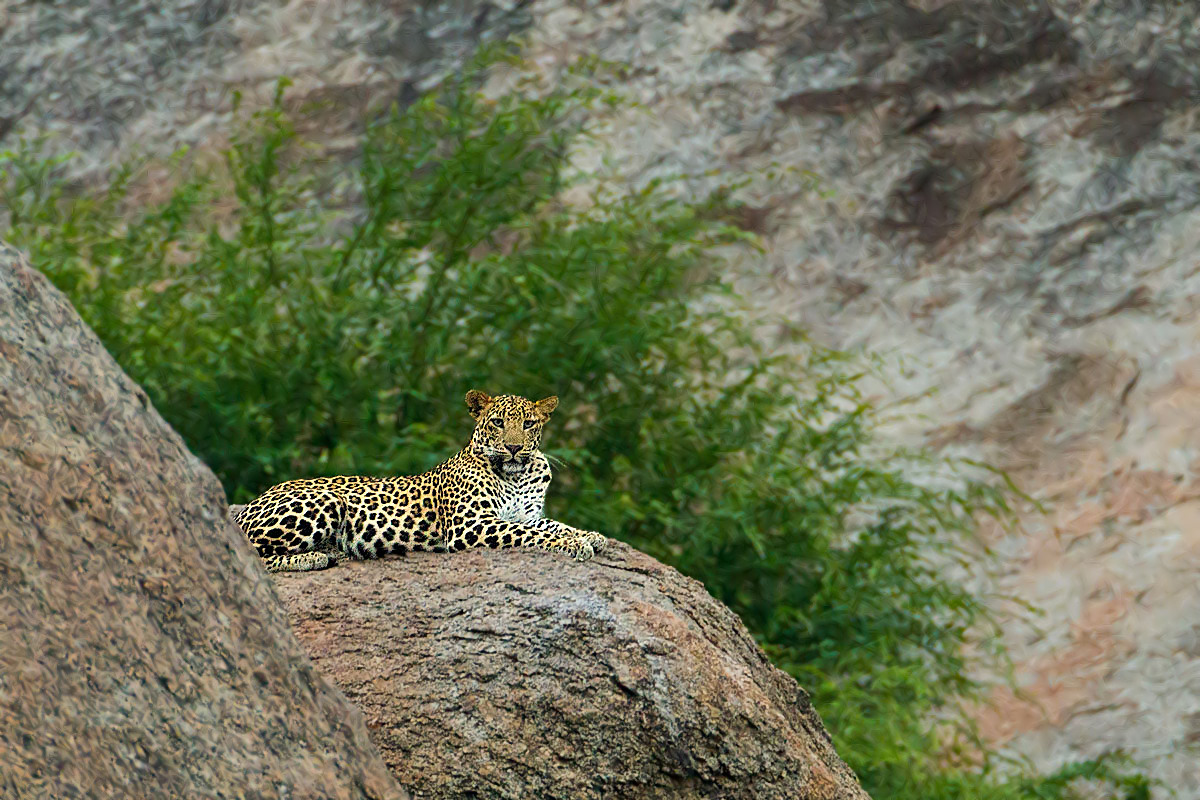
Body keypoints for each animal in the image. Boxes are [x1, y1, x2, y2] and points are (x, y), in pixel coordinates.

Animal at [231, 391, 609, 573]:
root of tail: (249, 505)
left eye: (529, 424)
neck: (517, 475)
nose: (514, 447)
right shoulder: (472, 524)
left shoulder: (528, 515)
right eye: (498, 422)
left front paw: (589, 535)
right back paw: (311, 558)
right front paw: (575, 544)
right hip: (324, 501)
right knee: (249, 554)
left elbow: (551, 525)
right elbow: (533, 535)